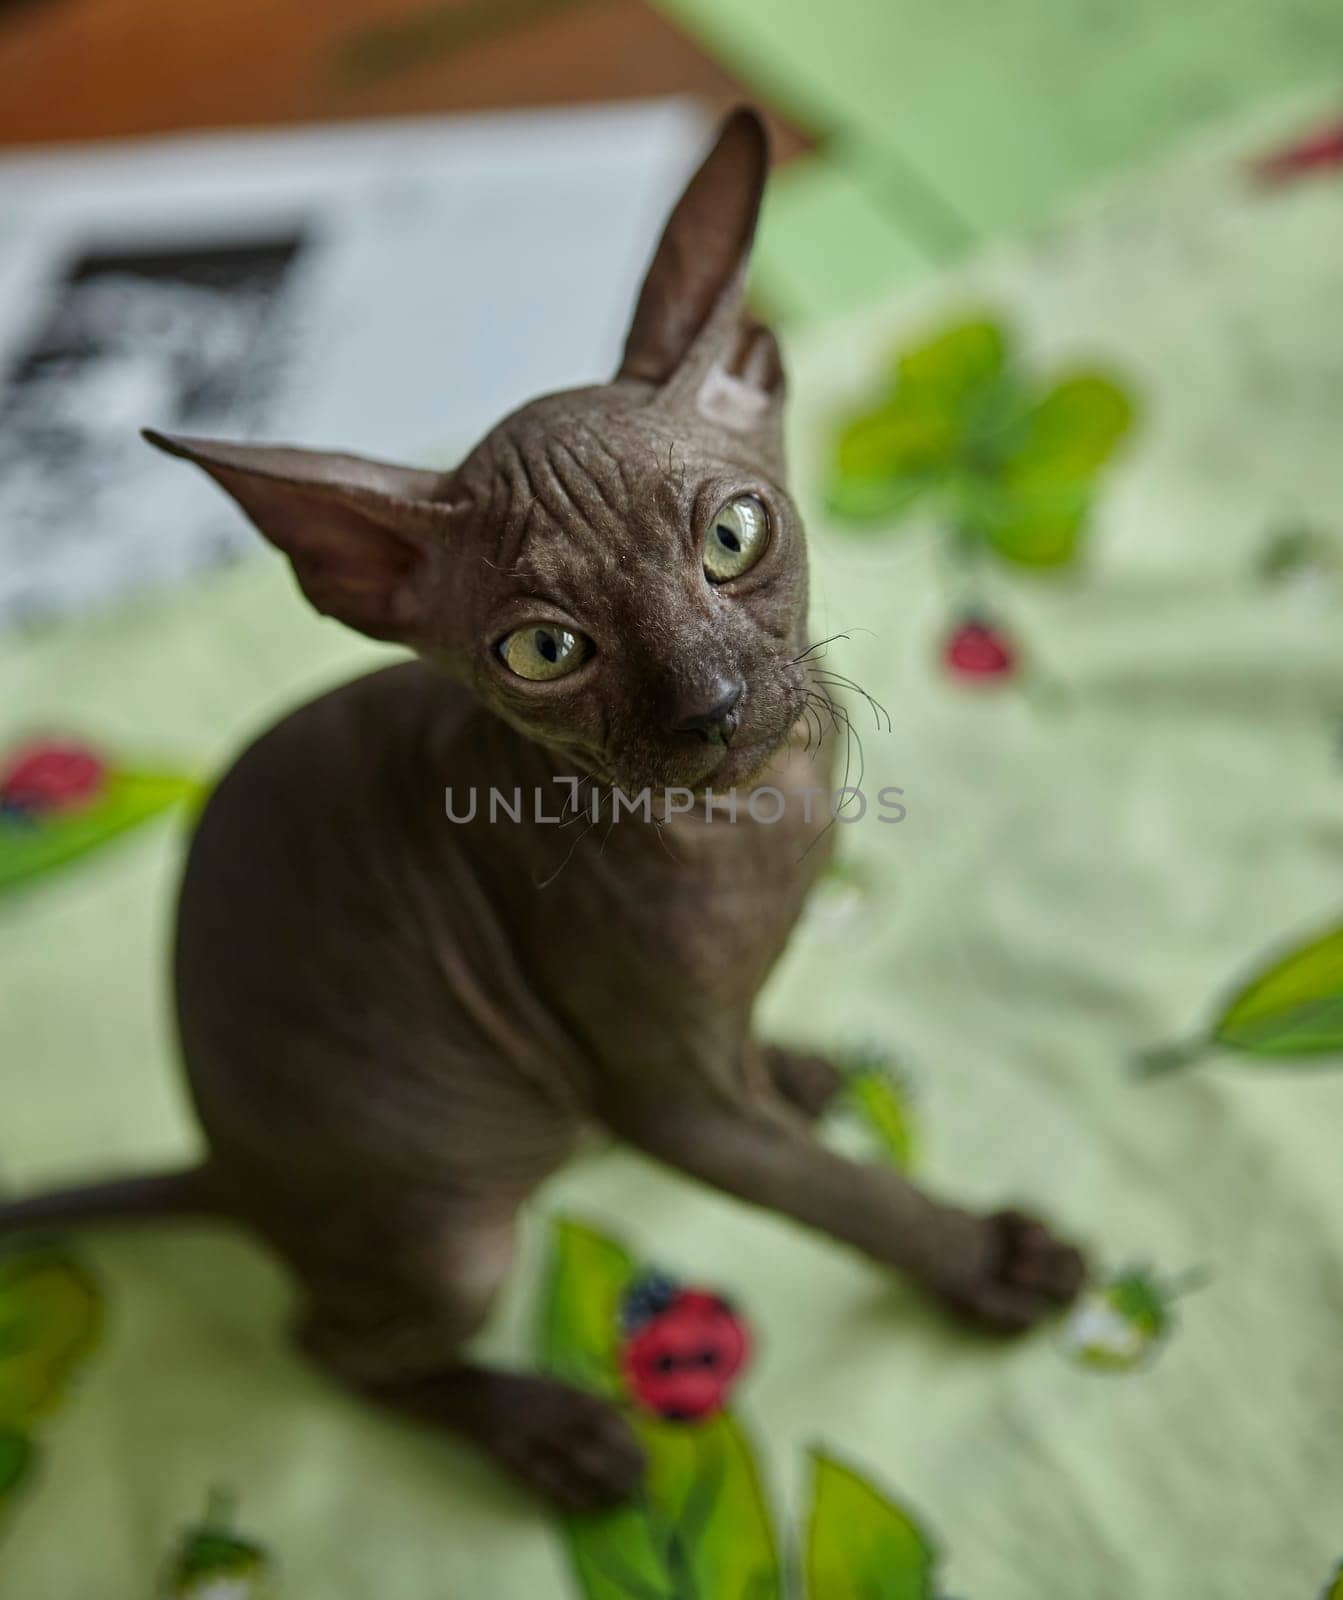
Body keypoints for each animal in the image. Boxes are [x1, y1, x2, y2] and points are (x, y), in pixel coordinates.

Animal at [0, 106, 1082, 1504]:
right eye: (545, 651)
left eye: (732, 536)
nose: (712, 705)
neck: (753, 821)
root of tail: (226, 1172)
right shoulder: (670, 1104)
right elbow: (839, 1195)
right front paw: (979, 1256)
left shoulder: (689, 1051)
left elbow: (751, 1081)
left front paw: (782, 1068)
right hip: (448, 1239)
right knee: (338, 1351)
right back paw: (548, 1431)